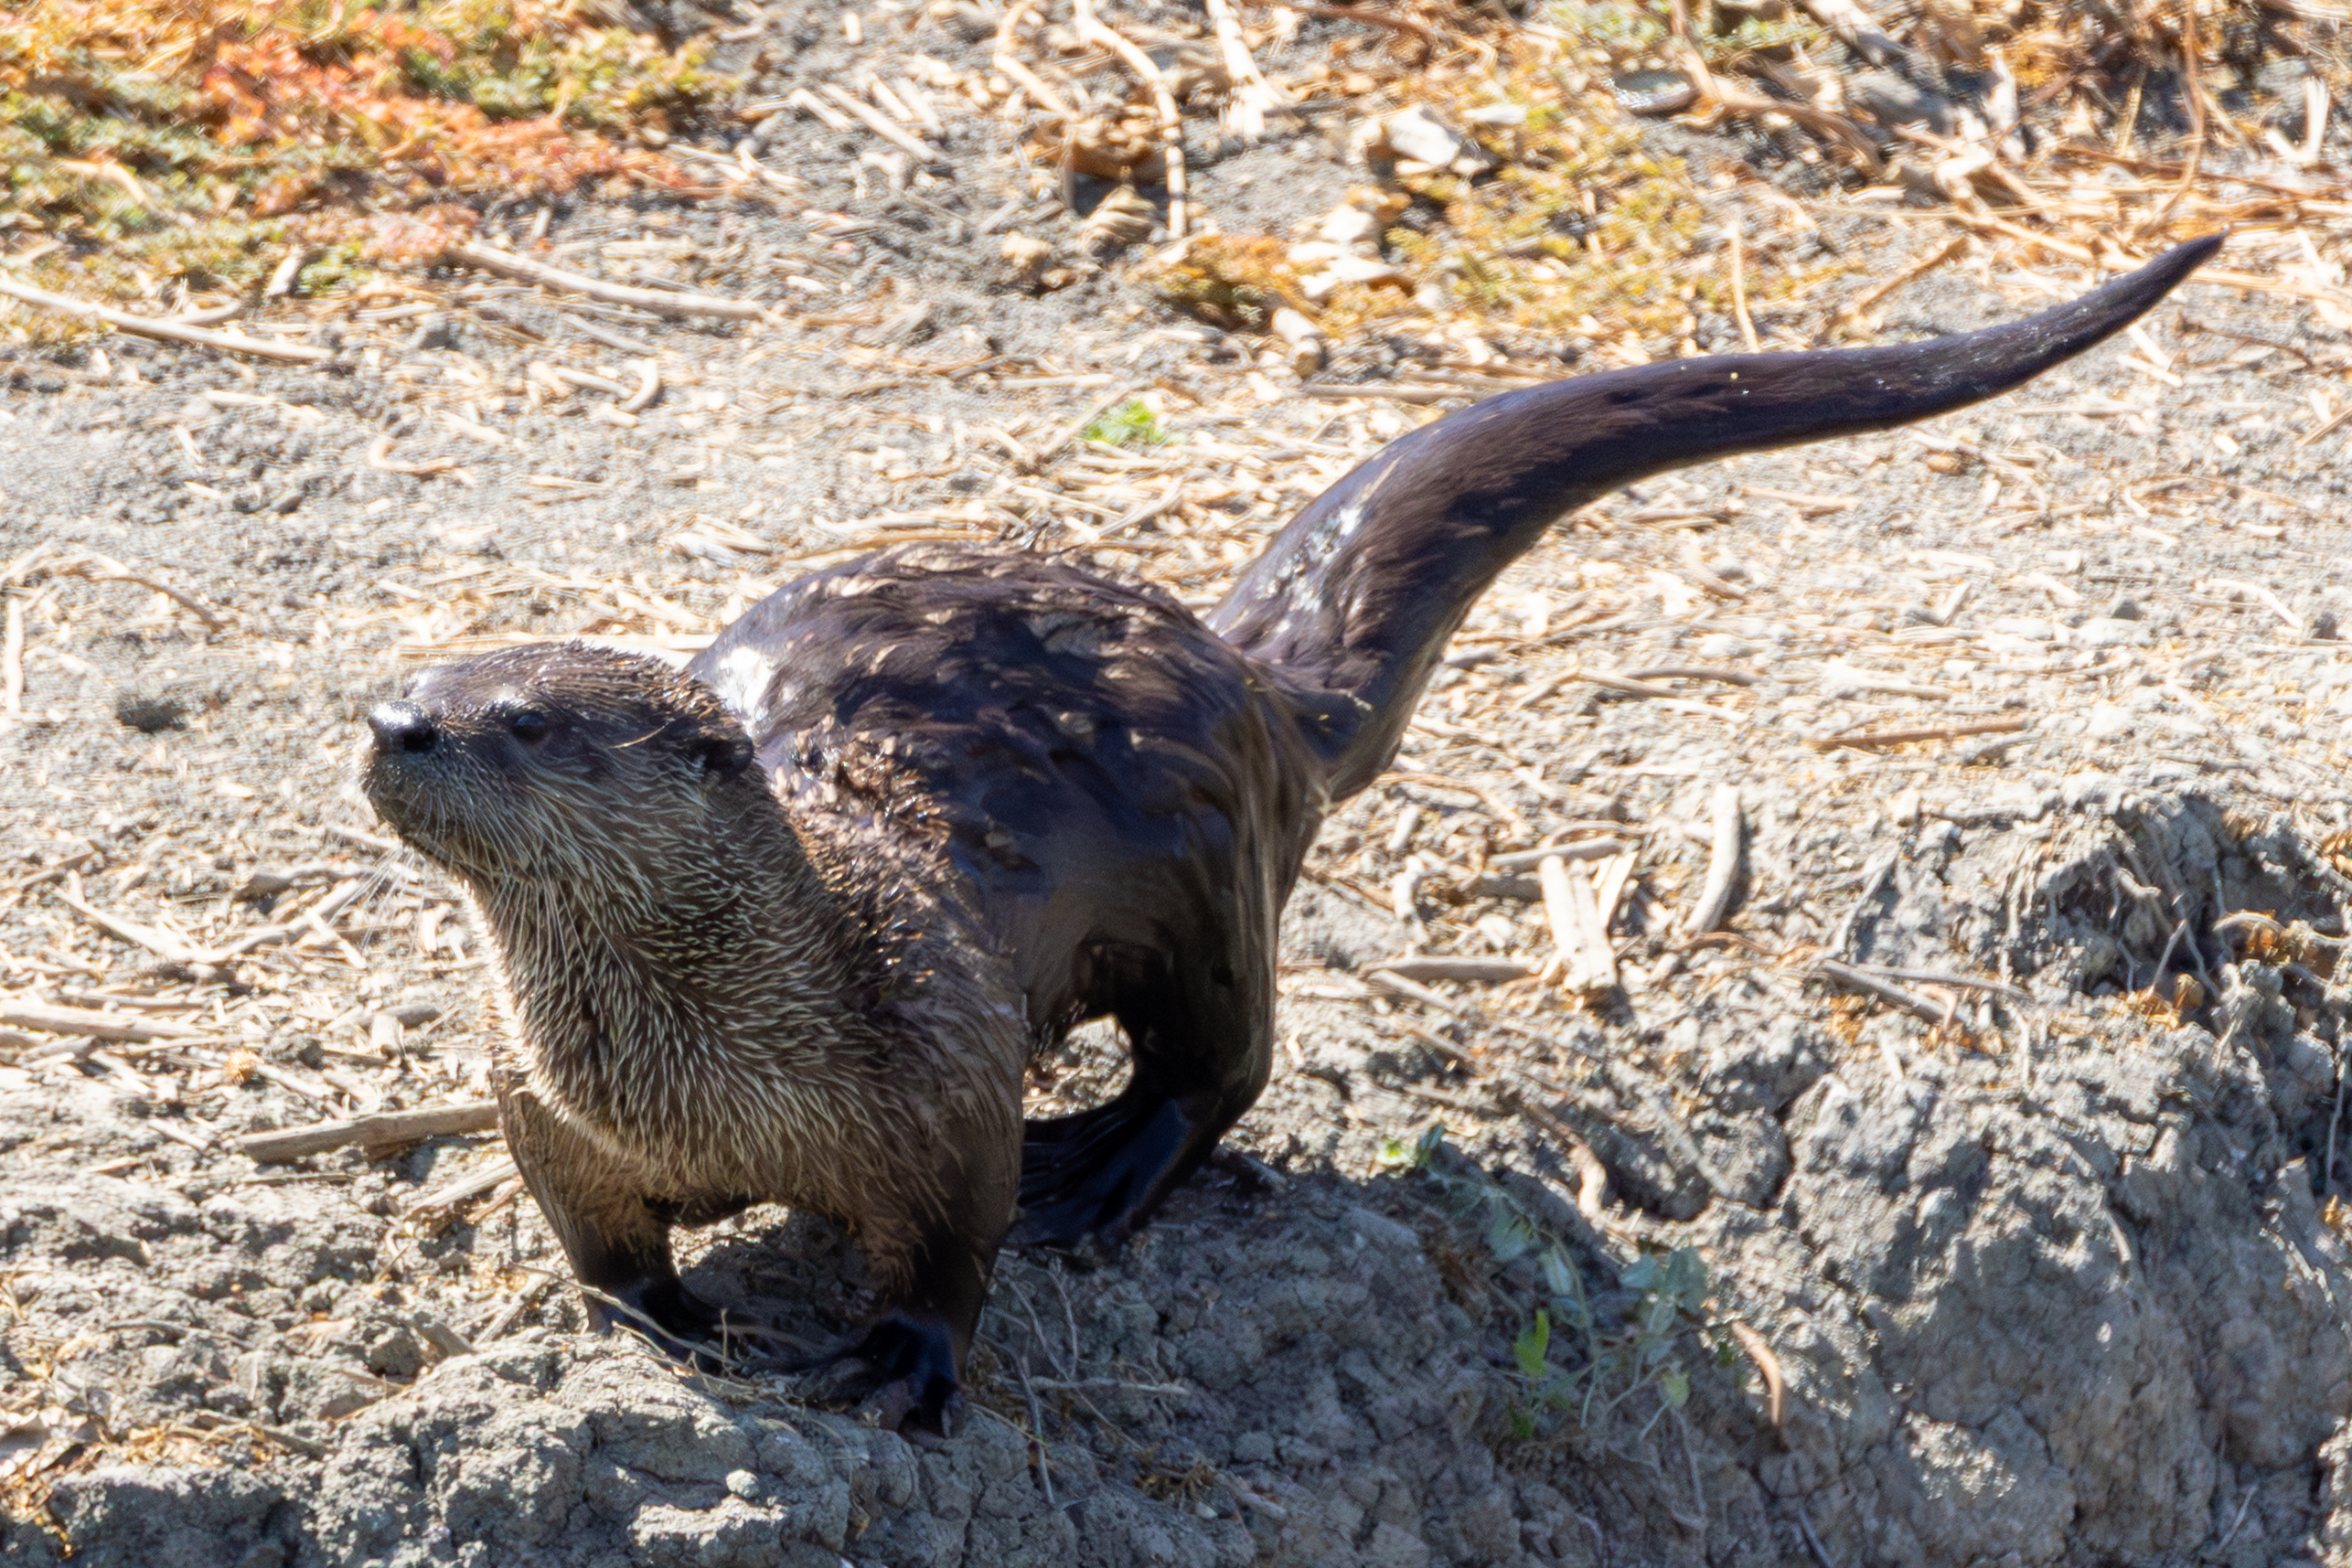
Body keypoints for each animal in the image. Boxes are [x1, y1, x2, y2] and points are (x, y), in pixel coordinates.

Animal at [364, 237, 2218, 1429]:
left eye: (521, 720)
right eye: (425, 671)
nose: (395, 722)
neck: (712, 1058)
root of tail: (1243, 676)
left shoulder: (937, 1064)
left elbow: (955, 1241)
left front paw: (898, 1357)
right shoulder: (539, 1105)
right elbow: (595, 1237)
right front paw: (660, 1315)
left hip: (1205, 883)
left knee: (1228, 1059)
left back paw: (1108, 1162)